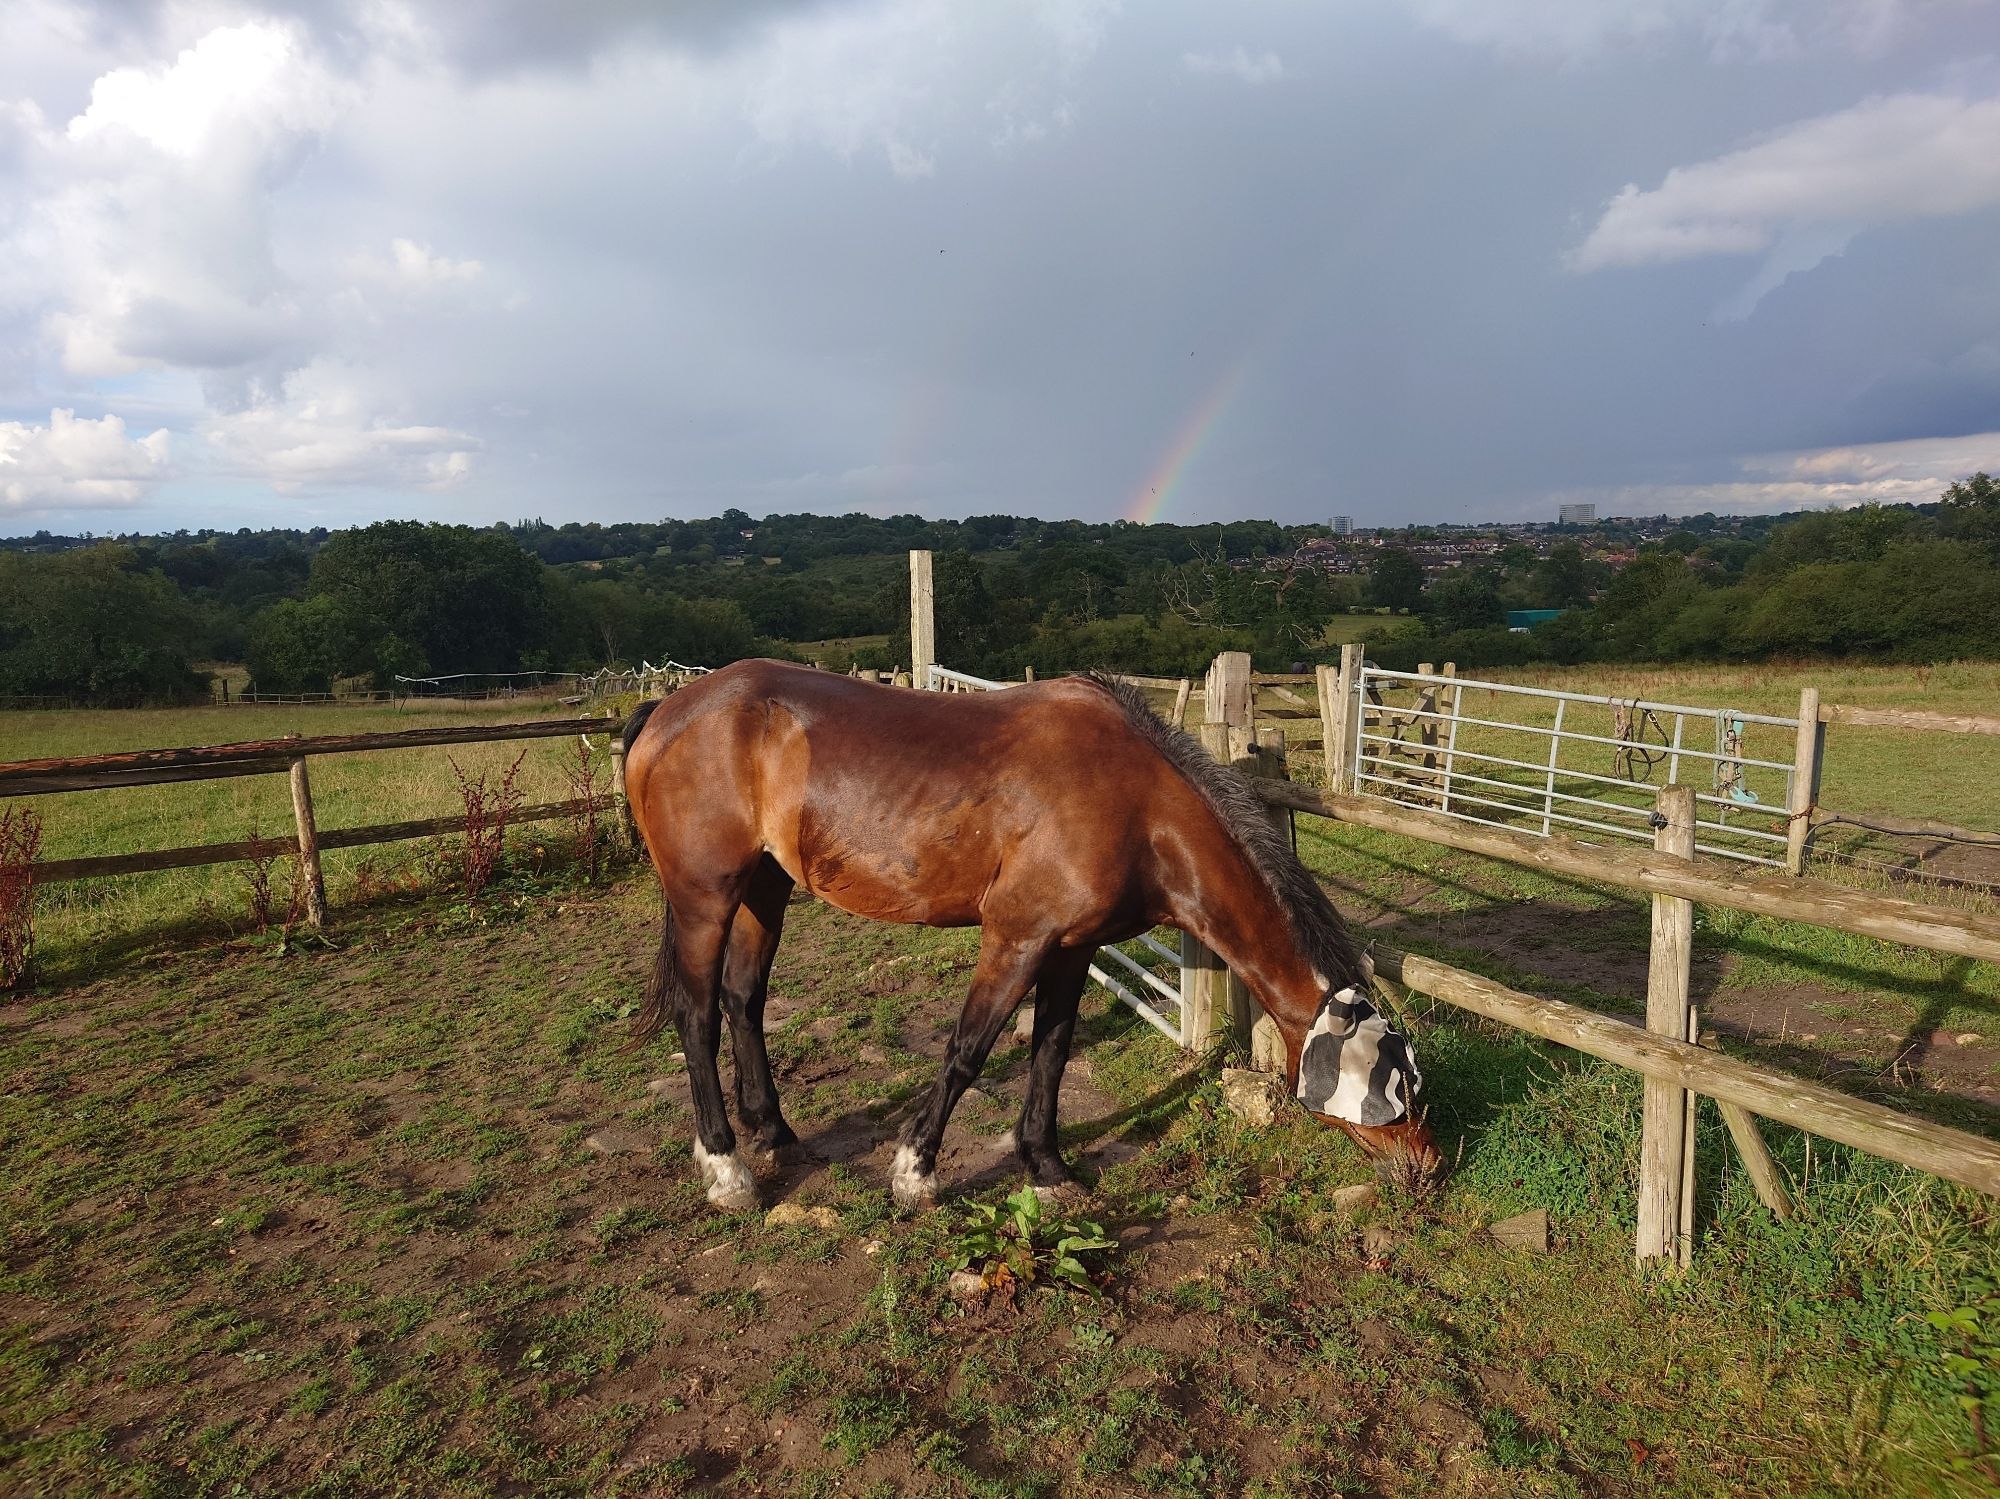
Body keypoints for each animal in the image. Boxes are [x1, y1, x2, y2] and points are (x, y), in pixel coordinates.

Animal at [624, 663, 1440, 1215]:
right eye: (1392, 1088)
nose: (1430, 1166)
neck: (1137, 803)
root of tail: (670, 709)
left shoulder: (1072, 948)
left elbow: (1052, 1049)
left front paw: (1046, 1165)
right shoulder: (1016, 937)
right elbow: (967, 1051)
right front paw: (914, 1169)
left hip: (764, 889)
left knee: (743, 1000)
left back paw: (772, 1129)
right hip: (704, 900)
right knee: (697, 1017)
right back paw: (726, 1168)